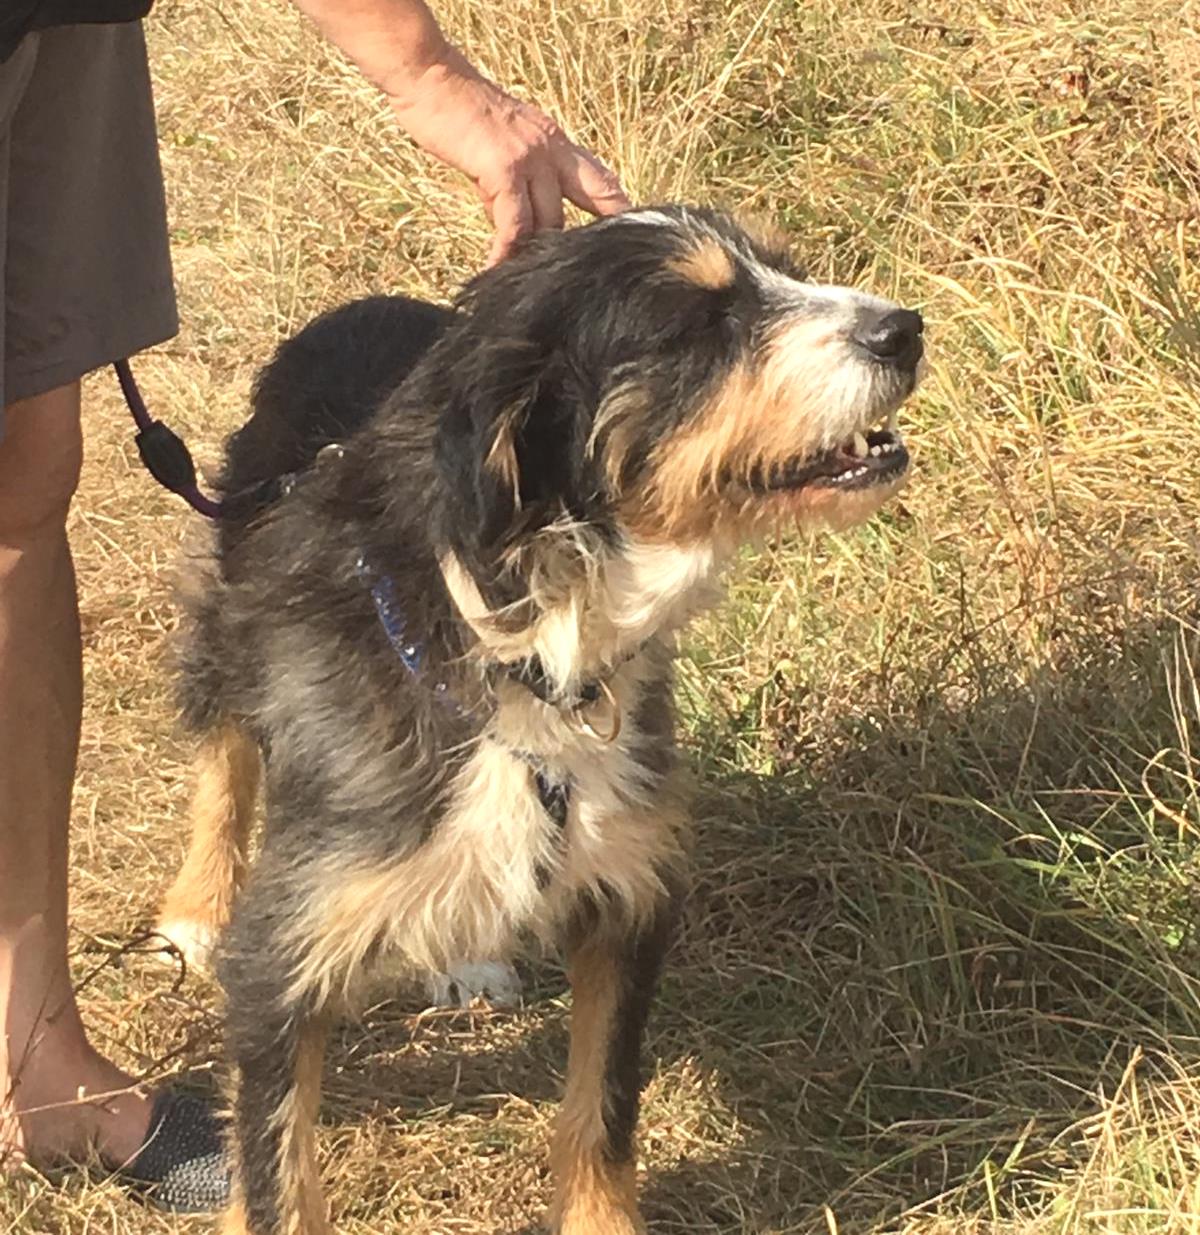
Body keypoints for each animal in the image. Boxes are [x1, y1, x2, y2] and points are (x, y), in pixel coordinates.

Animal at [154, 205, 923, 1235]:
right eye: (698, 321)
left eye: (786, 273)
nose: (904, 328)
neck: (535, 649)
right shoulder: (283, 959)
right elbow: (278, 1174)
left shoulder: (628, 894)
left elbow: (602, 1110)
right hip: (228, 606)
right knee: (224, 748)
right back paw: (195, 907)